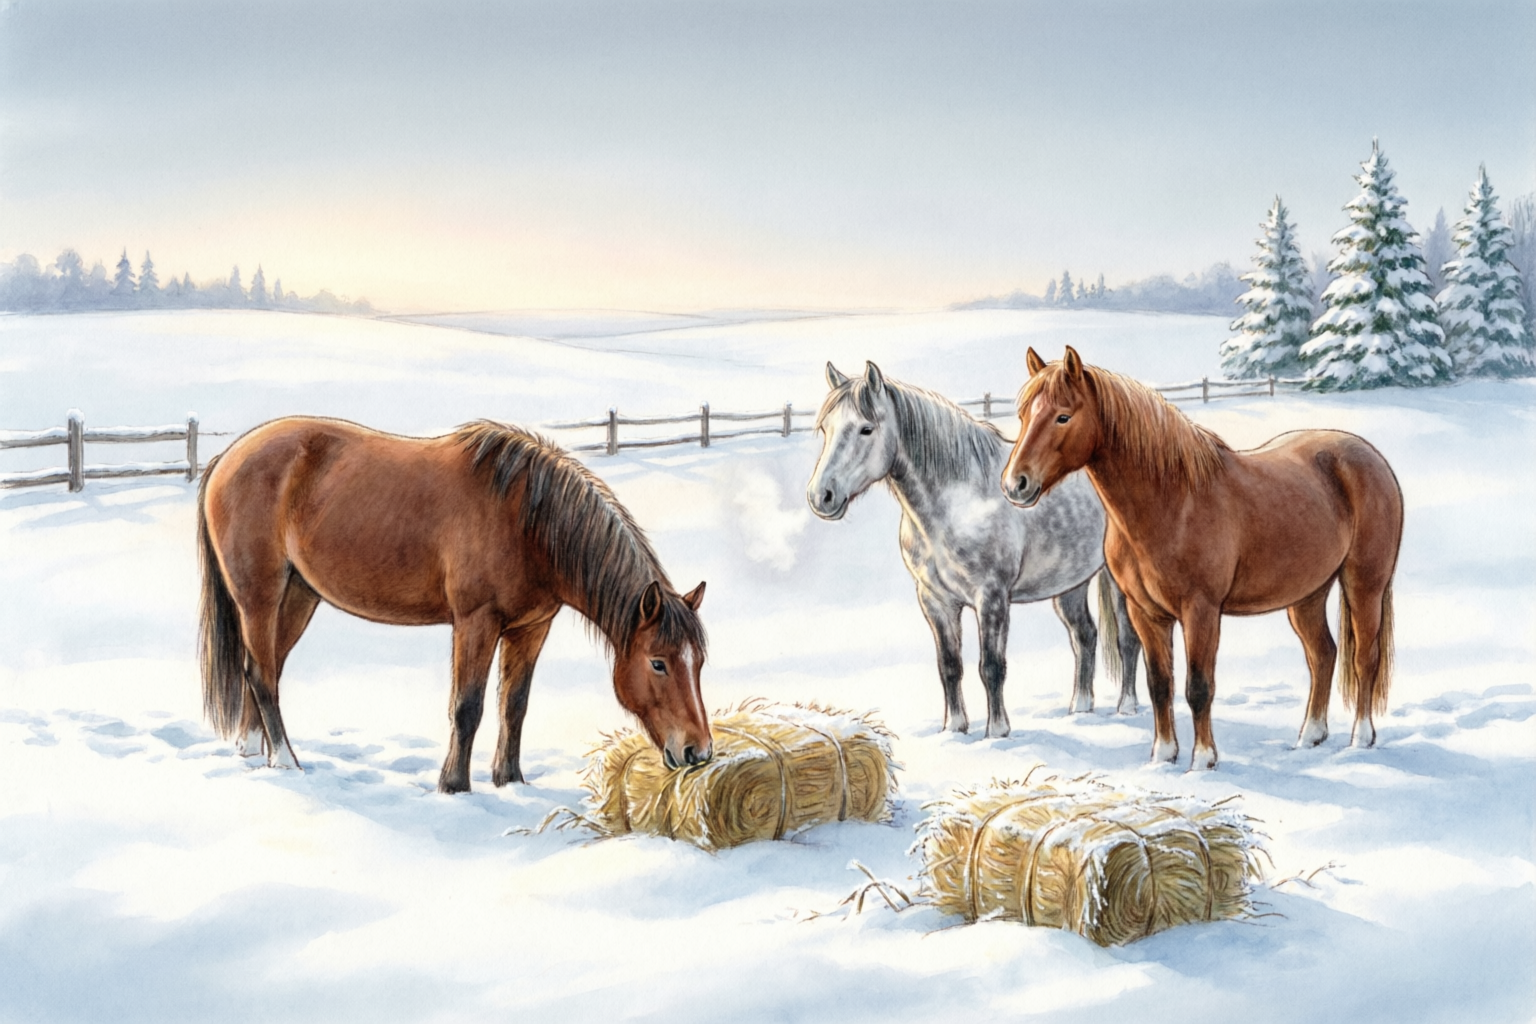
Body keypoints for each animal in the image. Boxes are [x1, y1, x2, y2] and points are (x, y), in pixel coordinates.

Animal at [197, 416, 712, 793]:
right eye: (659, 663)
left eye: (699, 662)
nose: (699, 753)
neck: (527, 521)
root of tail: (226, 458)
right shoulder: (475, 622)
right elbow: (468, 706)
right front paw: (454, 785)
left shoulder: (531, 628)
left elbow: (514, 705)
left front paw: (510, 781)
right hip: (259, 595)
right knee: (262, 673)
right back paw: (286, 763)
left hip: (300, 595)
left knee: (264, 666)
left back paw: (253, 753)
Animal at [805, 361, 1142, 737]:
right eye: (825, 428)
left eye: (866, 429)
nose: (821, 496)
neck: (961, 502)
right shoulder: (935, 600)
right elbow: (949, 666)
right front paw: (954, 729)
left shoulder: (991, 598)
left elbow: (991, 666)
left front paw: (997, 732)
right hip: (1070, 582)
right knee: (1084, 635)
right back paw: (1080, 710)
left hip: (1116, 580)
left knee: (1127, 638)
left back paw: (1126, 707)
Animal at [1001, 346, 1402, 769]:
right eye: (1024, 415)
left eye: (1063, 416)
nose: (1016, 484)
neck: (1173, 503)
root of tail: (1367, 455)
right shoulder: (1146, 613)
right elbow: (1159, 684)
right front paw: (1162, 756)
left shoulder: (1201, 611)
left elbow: (1198, 685)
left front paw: (1203, 760)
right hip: (1307, 594)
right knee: (1323, 654)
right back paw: (1309, 737)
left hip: (1364, 584)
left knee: (1364, 657)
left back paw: (1361, 738)